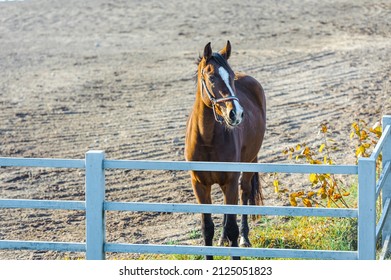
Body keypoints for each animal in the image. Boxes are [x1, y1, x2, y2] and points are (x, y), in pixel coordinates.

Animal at [186, 40, 266, 260]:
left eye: (230, 76)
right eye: (211, 77)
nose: (236, 114)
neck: (207, 139)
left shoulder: (230, 181)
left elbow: (232, 228)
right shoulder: (199, 185)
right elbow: (207, 228)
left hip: (248, 165)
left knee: (245, 193)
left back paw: (245, 238)